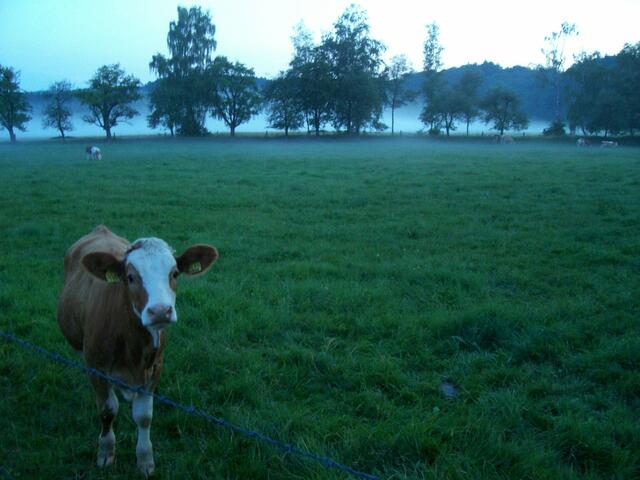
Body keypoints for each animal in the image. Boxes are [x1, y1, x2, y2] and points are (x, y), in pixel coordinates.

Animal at [57, 225, 218, 475]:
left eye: (174, 273)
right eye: (131, 277)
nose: (160, 311)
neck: (133, 348)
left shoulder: (154, 369)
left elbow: (144, 416)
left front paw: (144, 459)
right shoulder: (96, 367)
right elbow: (107, 410)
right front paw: (106, 451)